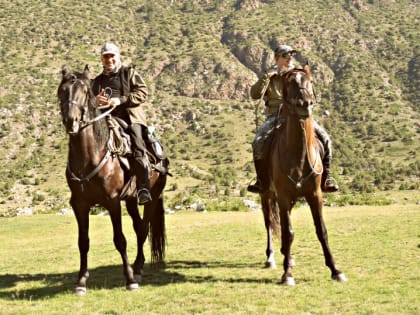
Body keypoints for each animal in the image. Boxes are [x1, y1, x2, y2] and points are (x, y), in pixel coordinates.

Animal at [57, 65, 167, 296]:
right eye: (61, 91)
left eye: (85, 91)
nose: (71, 121)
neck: (91, 155)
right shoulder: (79, 204)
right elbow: (83, 242)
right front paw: (81, 282)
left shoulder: (112, 201)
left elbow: (120, 240)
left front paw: (130, 280)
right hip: (132, 199)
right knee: (139, 226)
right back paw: (137, 267)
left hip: (152, 197)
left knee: (143, 229)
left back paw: (137, 269)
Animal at [260, 65, 346, 286]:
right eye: (289, 83)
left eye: (311, 81)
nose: (304, 104)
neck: (297, 154)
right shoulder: (282, 196)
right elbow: (288, 232)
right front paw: (287, 274)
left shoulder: (315, 195)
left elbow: (321, 231)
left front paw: (336, 270)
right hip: (266, 194)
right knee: (269, 223)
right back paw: (271, 258)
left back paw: (286, 255)